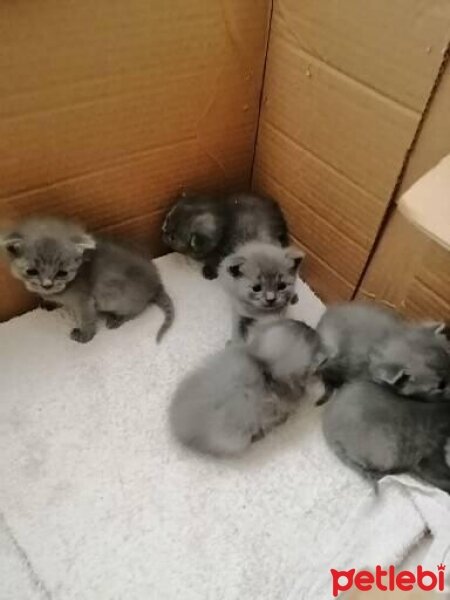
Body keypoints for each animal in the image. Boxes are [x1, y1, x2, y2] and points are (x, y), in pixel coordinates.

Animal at [0, 219, 174, 342]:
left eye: (62, 273)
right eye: (32, 271)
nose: (47, 285)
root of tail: (156, 282)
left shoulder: (84, 300)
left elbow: (87, 318)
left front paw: (84, 336)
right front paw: (47, 303)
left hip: (114, 294)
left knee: (138, 308)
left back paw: (117, 318)